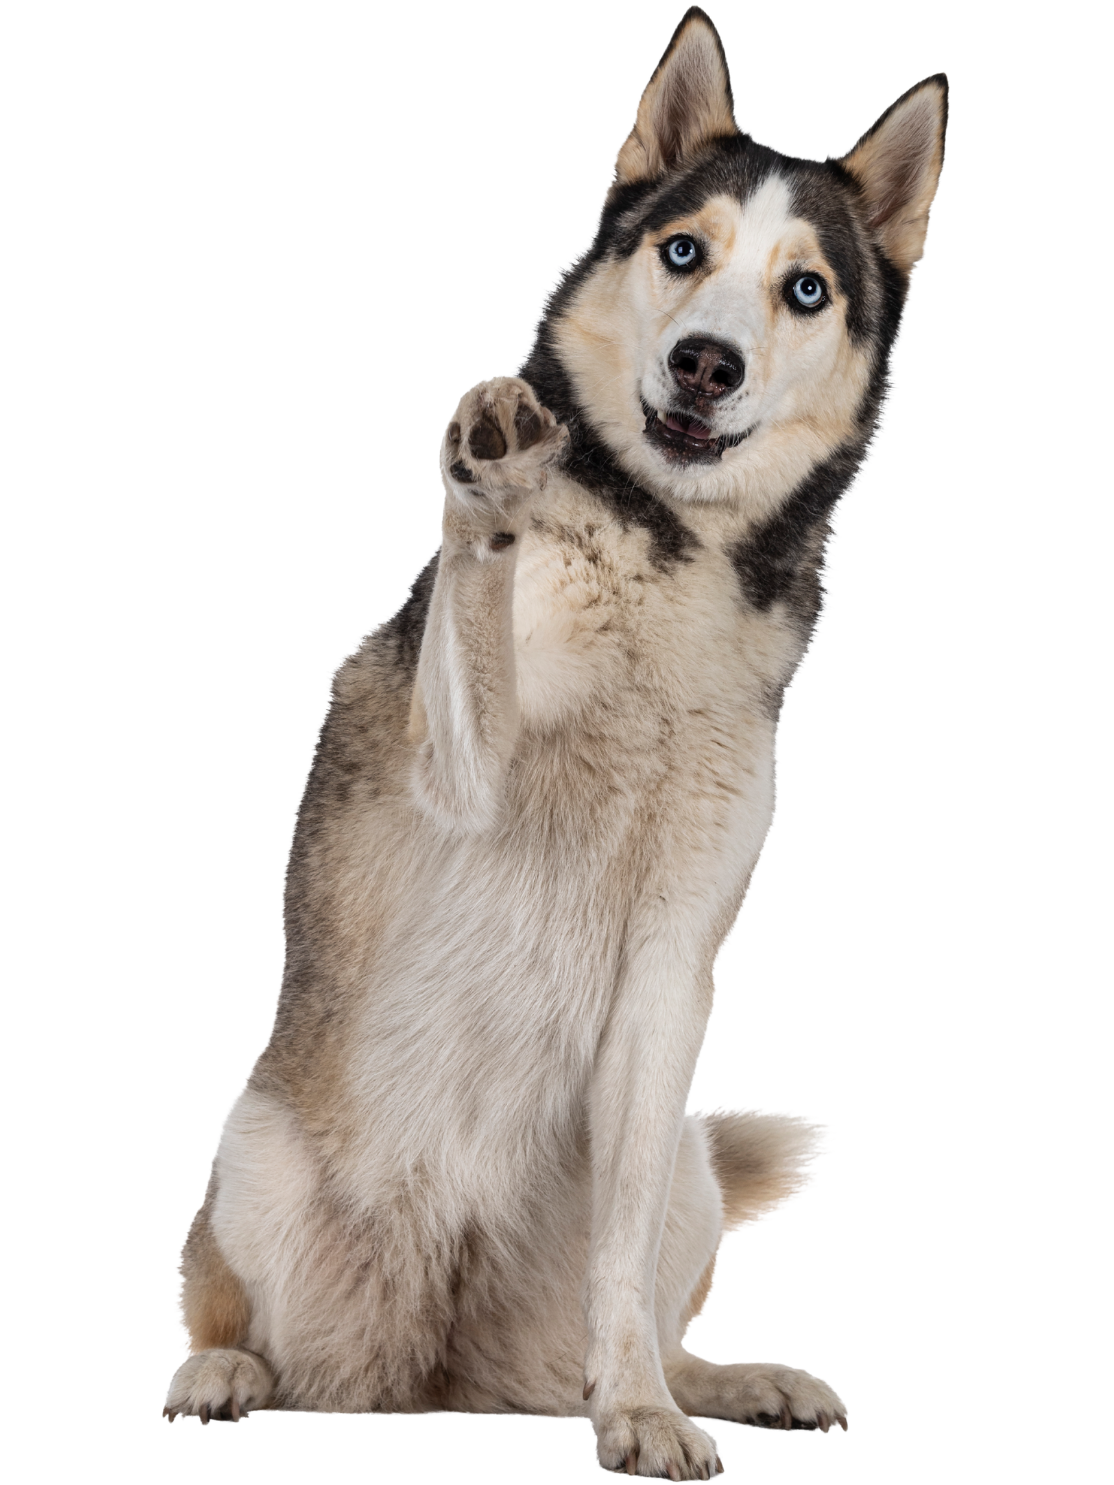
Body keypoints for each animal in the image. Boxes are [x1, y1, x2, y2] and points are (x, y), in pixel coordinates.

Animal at [163, 7, 946, 1476]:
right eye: (683, 252)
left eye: (805, 290)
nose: (706, 361)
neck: (661, 566)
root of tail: (428, 1372)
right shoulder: (458, 770)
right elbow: (477, 583)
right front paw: (492, 467)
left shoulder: (672, 973)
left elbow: (621, 1268)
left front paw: (638, 1409)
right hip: (253, 1150)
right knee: (228, 1307)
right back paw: (224, 1371)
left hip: (685, 1158)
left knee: (625, 1296)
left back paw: (726, 1377)